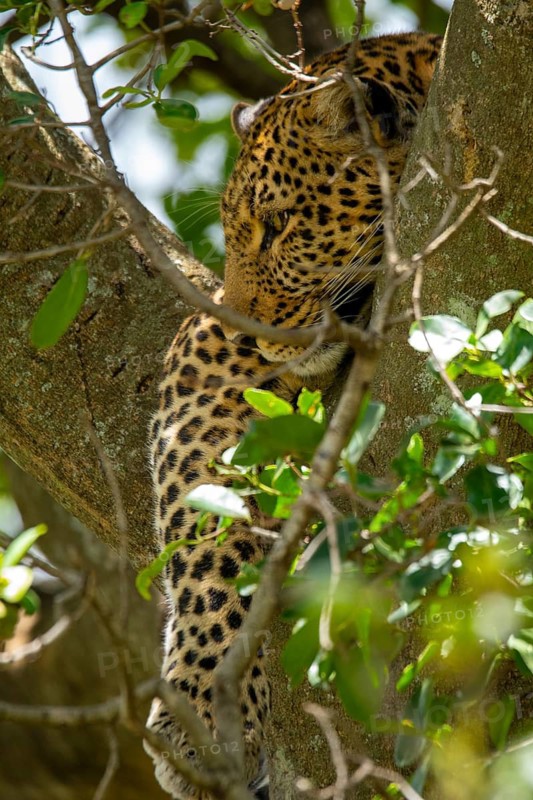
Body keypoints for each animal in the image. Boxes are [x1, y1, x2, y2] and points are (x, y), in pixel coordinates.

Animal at [145, 31, 442, 800]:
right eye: (230, 231)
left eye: (279, 225)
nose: (248, 331)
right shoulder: (205, 357)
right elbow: (205, 534)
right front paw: (201, 709)